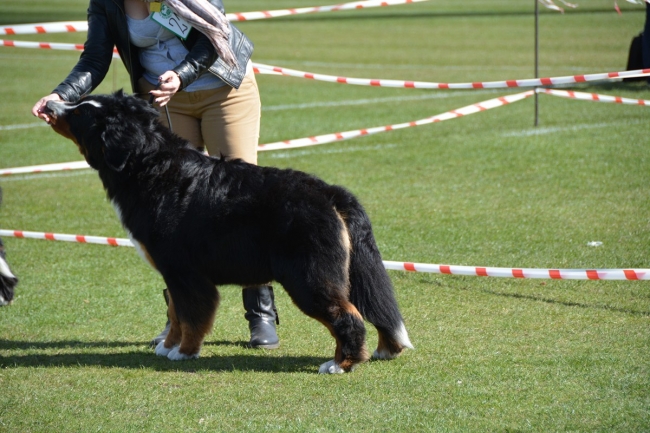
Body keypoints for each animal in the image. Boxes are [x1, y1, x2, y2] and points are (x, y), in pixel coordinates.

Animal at [43, 90, 412, 373]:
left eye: (81, 113)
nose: (51, 105)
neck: (149, 167)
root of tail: (329, 192)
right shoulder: (173, 274)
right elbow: (175, 311)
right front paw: (169, 345)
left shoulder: (184, 271)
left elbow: (191, 315)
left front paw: (184, 352)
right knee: (375, 309)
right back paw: (385, 350)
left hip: (308, 276)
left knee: (347, 315)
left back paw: (341, 363)